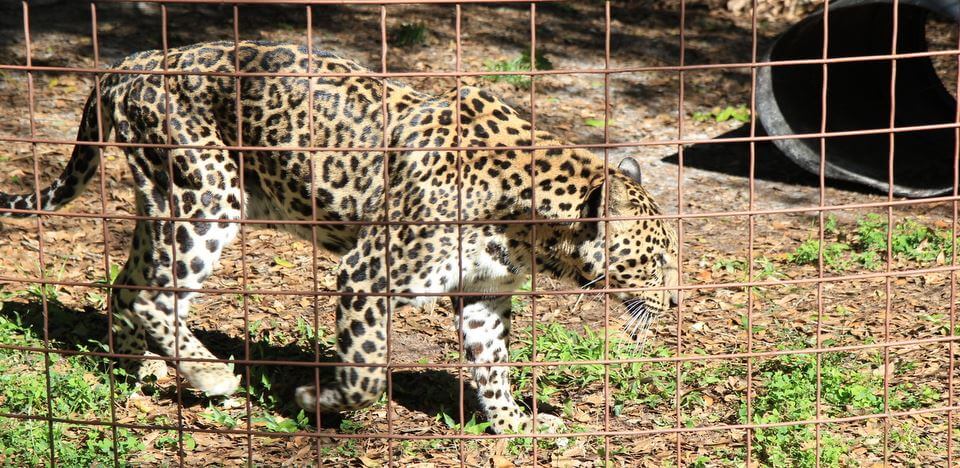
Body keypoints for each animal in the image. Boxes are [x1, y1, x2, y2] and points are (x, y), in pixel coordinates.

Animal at [0, 41, 680, 436]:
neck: (530, 232)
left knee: (128, 283)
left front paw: (514, 422)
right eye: (656, 260)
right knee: (152, 295)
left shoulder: (483, 294)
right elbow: (368, 370)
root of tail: (126, 64)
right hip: (209, 195)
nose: (675, 302)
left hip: (162, 199)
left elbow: (493, 365)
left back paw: (134, 369)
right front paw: (319, 401)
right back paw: (212, 376)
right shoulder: (366, 275)